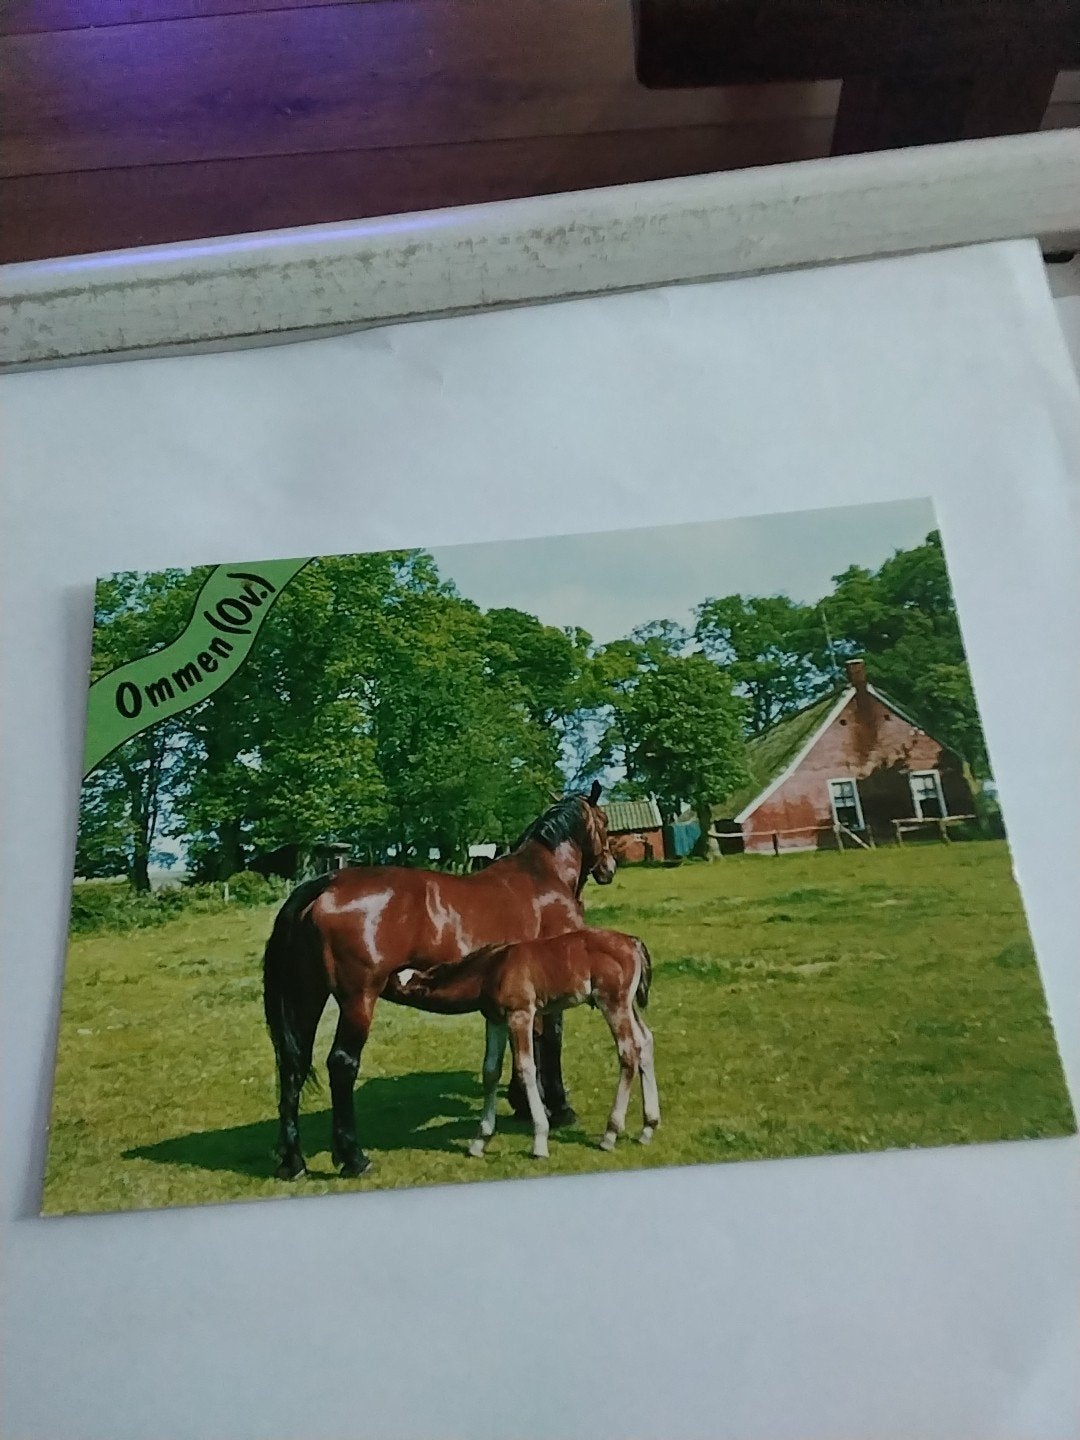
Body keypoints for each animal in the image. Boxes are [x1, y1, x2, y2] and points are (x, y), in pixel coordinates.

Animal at [262, 783, 617, 1179]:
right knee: (341, 1065)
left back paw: (293, 1161)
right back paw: (354, 1157)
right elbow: (550, 1041)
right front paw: (559, 1107)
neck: (542, 878)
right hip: (358, 999)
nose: (609, 868)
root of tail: (325, 884)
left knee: (293, 1066)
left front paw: (524, 1103)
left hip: (307, 996)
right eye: (604, 820)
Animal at [393, 929, 659, 1160]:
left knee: (628, 1052)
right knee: (645, 1041)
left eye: (399, 986)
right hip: (628, 1005)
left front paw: (540, 1141)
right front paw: (479, 1141)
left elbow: (526, 1068)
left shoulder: (520, 1015)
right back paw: (648, 1127)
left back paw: (610, 1134)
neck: (491, 970)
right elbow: (490, 1071)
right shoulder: (495, 1020)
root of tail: (632, 941)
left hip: (613, 1003)